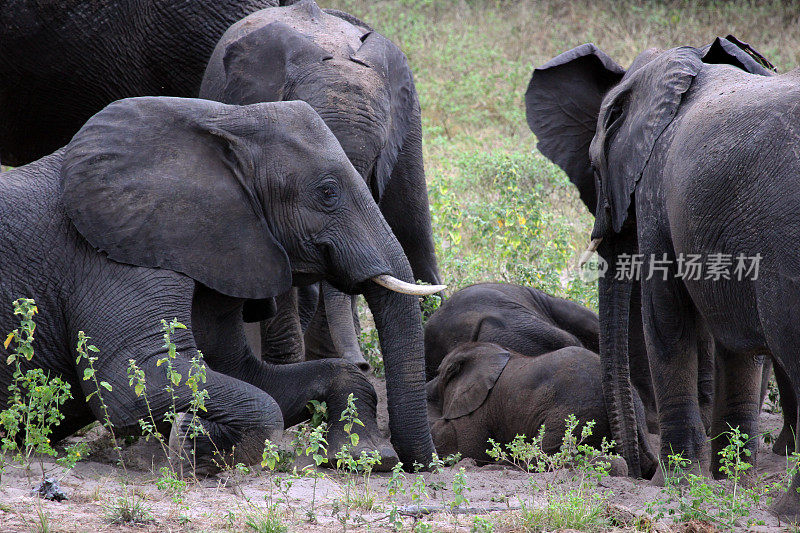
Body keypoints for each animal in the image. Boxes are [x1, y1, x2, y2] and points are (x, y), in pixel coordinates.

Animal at [0, 94, 438, 470]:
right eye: (328, 193)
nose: (425, 465)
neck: (225, 121)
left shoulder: (216, 249)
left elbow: (243, 372)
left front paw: (362, 458)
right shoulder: (117, 248)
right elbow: (130, 381)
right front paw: (192, 441)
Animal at [524, 40, 800, 516]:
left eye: (595, 167)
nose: (634, 470)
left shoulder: (656, 189)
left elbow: (668, 317)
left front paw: (676, 483)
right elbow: (733, 340)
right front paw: (729, 481)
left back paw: (784, 510)